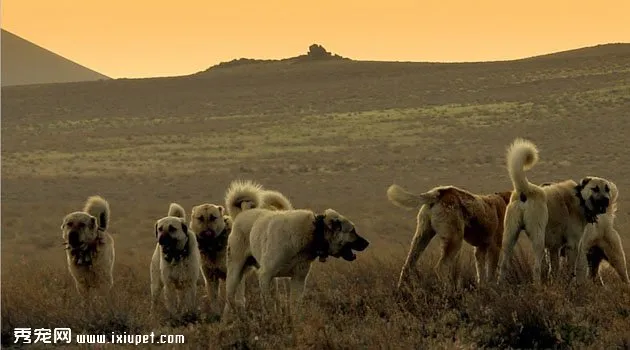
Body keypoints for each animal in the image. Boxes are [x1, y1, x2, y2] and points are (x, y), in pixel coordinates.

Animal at [223, 206, 370, 318]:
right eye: (352, 231)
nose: (367, 243)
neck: (313, 232)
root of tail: (240, 215)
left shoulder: (298, 279)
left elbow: (294, 307)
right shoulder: (265, 275)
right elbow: (267, 303)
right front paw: (270, 320)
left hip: (270, 281)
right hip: (235, 273)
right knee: (229, 299)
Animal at [388, 183, 516, 288]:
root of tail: (439, 192)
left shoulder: (480, 250)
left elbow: (481, 275)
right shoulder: (494, 248)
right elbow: (491, 275)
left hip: (422, 238)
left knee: (407, 266)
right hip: (454, 240)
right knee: (441, 267)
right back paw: (450, 292)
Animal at [502, 137, 620, 284]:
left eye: (607, 189)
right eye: (595, 189)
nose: (606, 201)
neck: (579, 198)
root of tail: (527, 190)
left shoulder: (554, 248)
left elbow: (555, 270)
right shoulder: (572, 246)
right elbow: (570, 271)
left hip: (509, 238)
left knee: (502, 266)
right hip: (538, 240)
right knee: (536, 268)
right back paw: (537, 286)